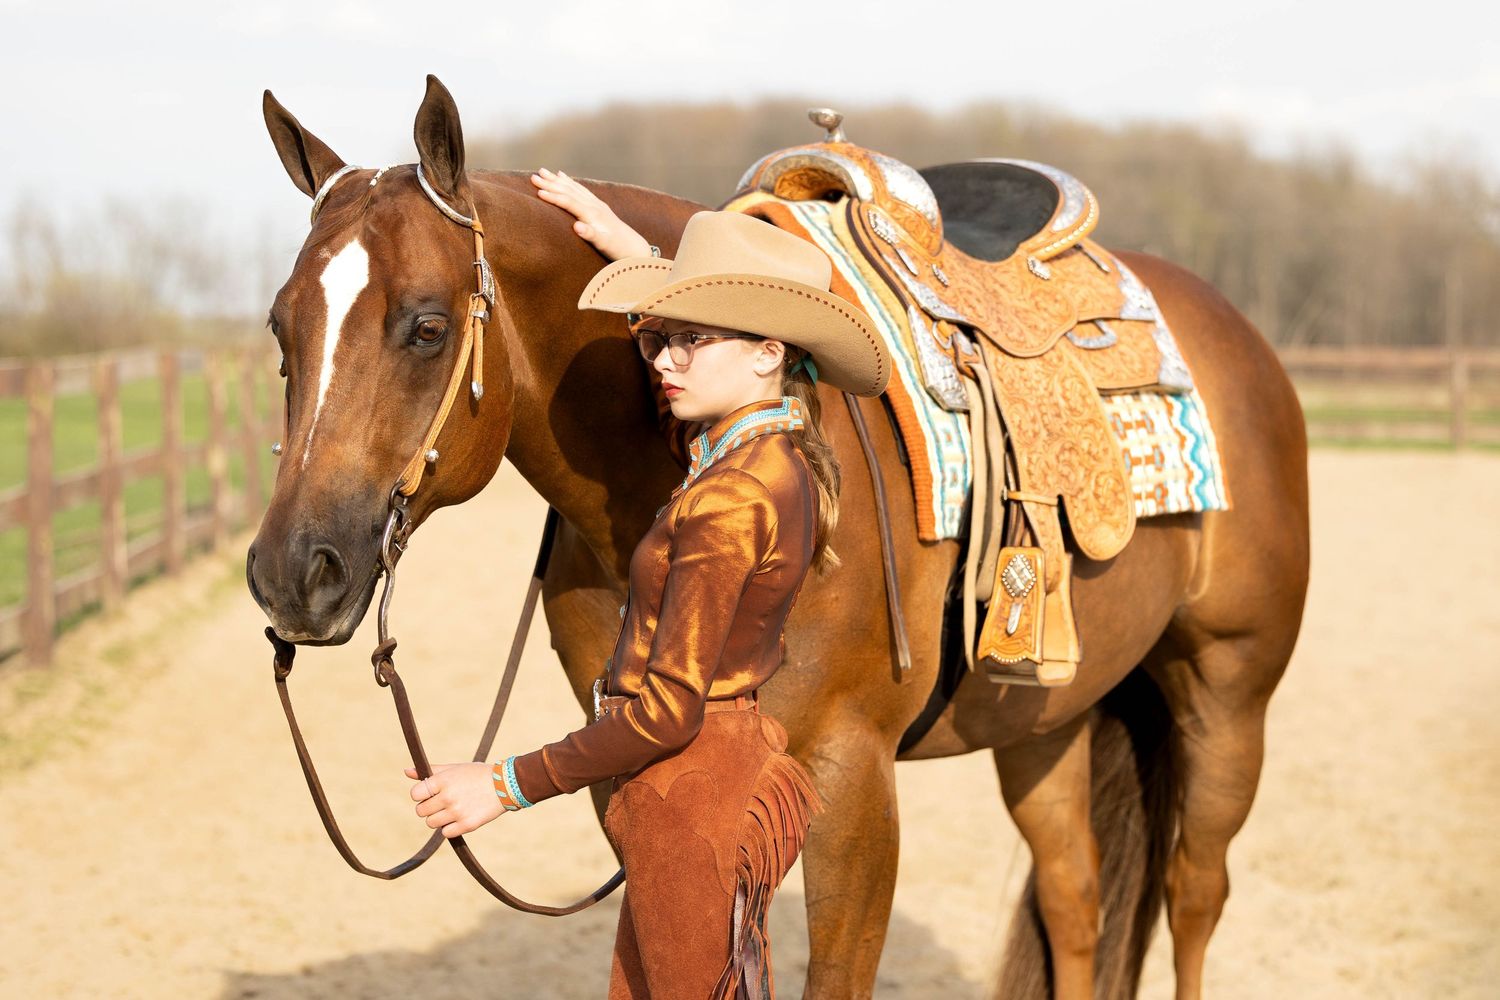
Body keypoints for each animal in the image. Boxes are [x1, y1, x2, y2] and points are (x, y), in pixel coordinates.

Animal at [246, 76, 1309, 1000]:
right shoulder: (624, 771)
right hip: (1047, 723)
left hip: (1228, 694)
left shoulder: (852, 781)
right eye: (280, 330)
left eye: (426, 328)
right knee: (1075, 902)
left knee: (1194, 894)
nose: (293, 573)